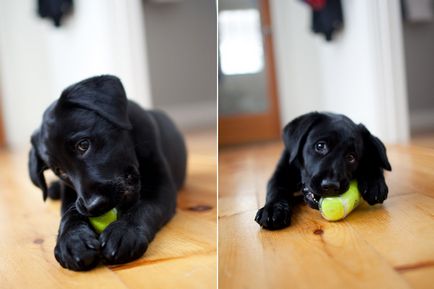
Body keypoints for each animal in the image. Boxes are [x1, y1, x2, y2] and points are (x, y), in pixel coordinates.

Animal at [27, 75, 186, 270]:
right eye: (60, 171)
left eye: (83, 144)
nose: (94, 206)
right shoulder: (72, 196)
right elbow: (68, 215)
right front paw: (72, 241)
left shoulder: (161, 187)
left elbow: (145, 206)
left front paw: (124, 231)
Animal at [256, 111, 392, 228]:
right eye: (320, 146)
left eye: (351, 157)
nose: (331, 186)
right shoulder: (281, 172)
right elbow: (275, 188)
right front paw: (273, 209)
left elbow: (373, 161)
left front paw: (374, 183)